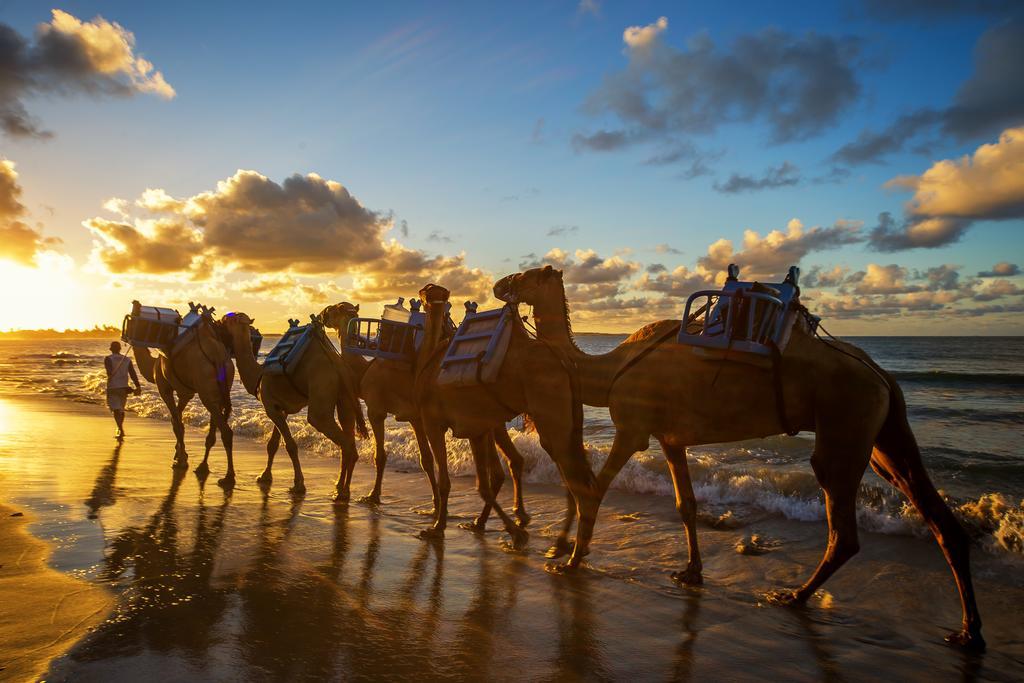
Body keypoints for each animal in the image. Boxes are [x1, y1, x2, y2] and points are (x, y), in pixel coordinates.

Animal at [130, 309, 235, 485]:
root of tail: (219, 358)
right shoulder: (185, 393)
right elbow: (177, 420)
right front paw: (179, 454)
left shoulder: (164, 387)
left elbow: (177, 422)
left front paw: (181, 460)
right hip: (221, 390)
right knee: (216, 426)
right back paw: (203, 467)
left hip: (206, 391)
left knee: (226, 431)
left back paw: (228, 476)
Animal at [220, 313, 368, 499]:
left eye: (228, 319)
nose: (219, 321)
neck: (259, 375)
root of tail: (338, 365)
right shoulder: (280, 409)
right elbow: (273, 444)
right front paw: (264, 476)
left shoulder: (270, 407)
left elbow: (290, 445)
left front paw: (298, 484)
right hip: (345, 398)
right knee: (349, 437)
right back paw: (342, 487)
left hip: (322, 389)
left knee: (337, 436)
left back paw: (342, 491)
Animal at [319, 301, 532, 528]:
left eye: (334, 309)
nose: (323, 315)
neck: (365, 369)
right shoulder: (416, 418)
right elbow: (427, 460)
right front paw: (435, 506)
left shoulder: (376, 410)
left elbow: (381, 456)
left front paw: (373, 496)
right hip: (492, 420)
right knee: (510, 463)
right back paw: (506, 517)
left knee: (500, 467)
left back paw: (491, 520)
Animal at [409, 284, 598, 573]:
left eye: (425, 292)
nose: (420, 295)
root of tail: (564, 362)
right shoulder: (477, 428)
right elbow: (484, 484)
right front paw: (510, 530)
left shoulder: (434, 422)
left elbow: (448, 481)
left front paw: (437, 527)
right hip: (564, 424)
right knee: (573, 476)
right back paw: (562, 546)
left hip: (551, 412)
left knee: (578, 482)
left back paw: (570, 560)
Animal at [495, 264, 983, 651]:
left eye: (530, 274)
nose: (499, 284)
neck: (608, 369)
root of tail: (881, 375)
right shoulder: (671, 438)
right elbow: (686, 505)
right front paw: (690, 572)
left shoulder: (633, 427)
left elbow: (595, 489)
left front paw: (569, 559)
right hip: (883, 434)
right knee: (929, 508)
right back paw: (967, 631)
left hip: (846, 423)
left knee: (843, 525)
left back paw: (793, 596)